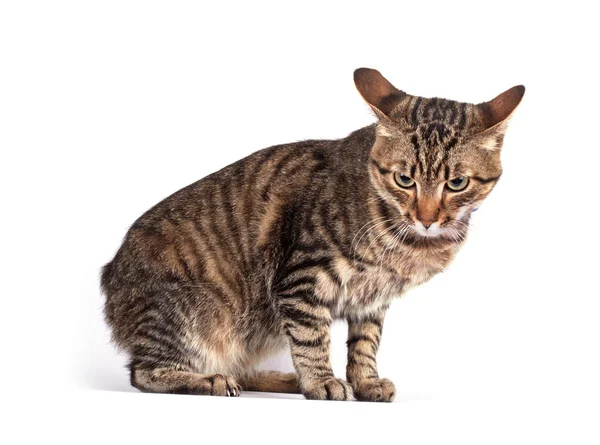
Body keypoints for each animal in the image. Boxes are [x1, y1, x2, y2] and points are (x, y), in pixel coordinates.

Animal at [101, 67, 524, 400]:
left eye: (457, 183)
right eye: (405, 179)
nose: (427, 217)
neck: (409, 242)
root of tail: (109, 274)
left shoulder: (372, 300)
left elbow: (366, 344)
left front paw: (364, 382)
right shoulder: (301, 279)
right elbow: (311, 338)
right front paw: (321, 381)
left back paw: (279, 379)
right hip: (194, 313)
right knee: (144, 373)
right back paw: (211, 380)